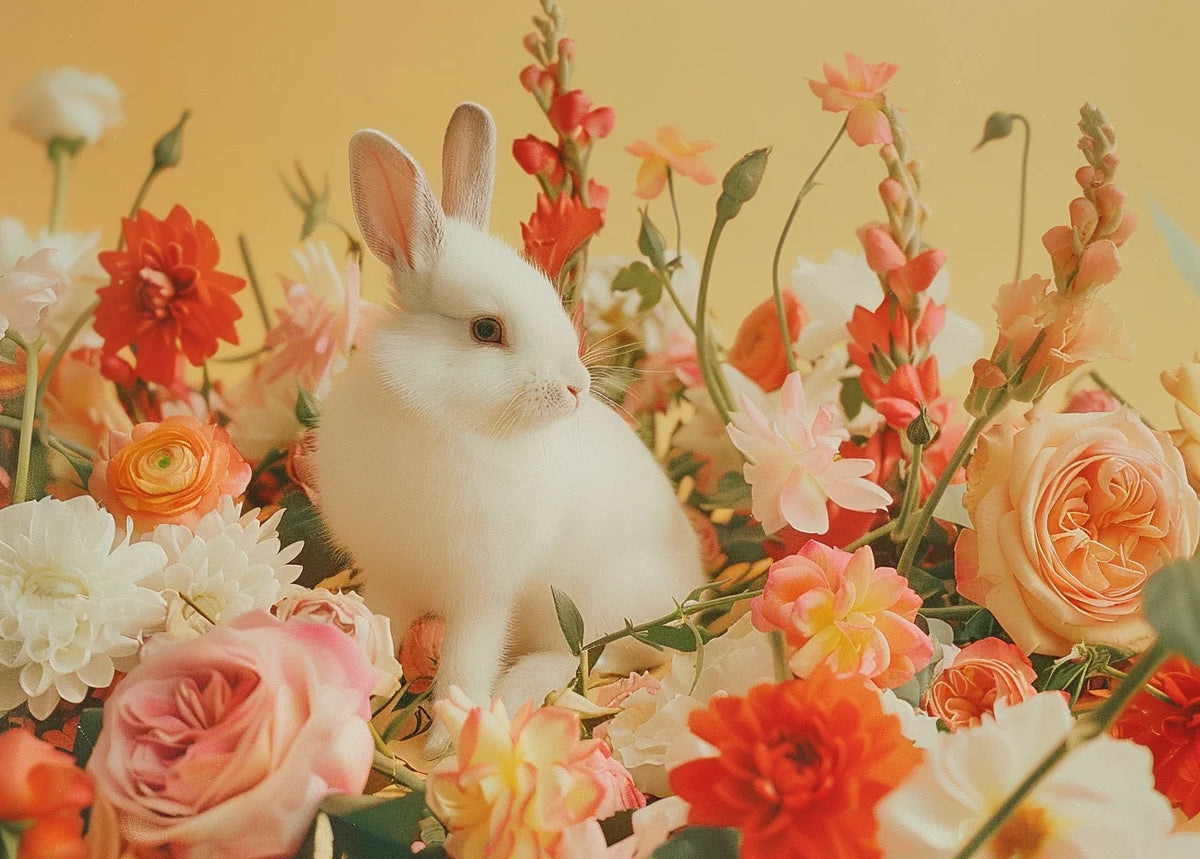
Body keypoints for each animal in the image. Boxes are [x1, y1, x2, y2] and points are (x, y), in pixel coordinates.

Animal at [313, 103, 706, 756]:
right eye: (486, 330)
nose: (576, 386)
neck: (441, 417)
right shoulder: (389, 579)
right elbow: (380, 637)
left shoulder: (482, 592)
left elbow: (464, 666)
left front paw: (446, 741)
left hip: (595, 606)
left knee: (599, 656)